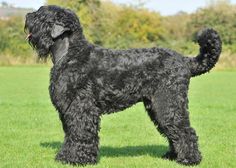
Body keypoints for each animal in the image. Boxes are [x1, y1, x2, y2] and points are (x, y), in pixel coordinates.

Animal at [24, 4, 222, 165]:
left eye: (41, 15)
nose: (27, 16)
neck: (71, 54)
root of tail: (185, 61)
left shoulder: (81, 108)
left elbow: (80, 133)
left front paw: (77, 159)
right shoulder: (68, 110)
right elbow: (70, 134)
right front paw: (66, 157)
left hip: (168, 103)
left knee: (185, 131)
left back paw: (189, 159)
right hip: (157, 106)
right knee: (173, 131)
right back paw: (172, 156)